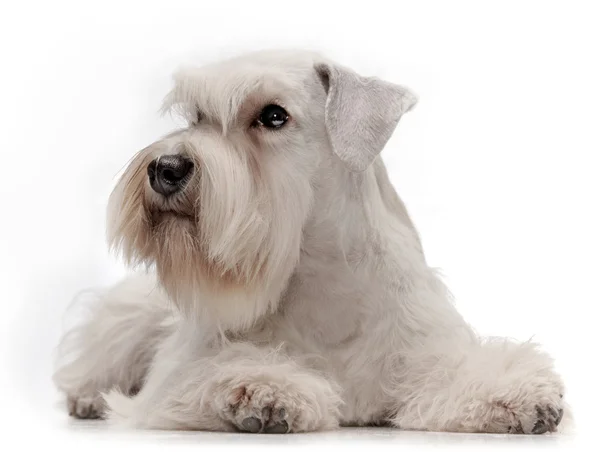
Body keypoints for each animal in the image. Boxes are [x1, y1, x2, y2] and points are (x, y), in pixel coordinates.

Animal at [54, 50, 564, 434]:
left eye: (273, 115)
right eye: (197, 116)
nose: (166, 168)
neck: (320, 276)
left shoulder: (425, 350)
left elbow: (460, 373)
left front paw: (522, 397)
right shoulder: (183, 369)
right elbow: (221, 370)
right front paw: (261, 391)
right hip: (129, 319)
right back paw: (86, 397)